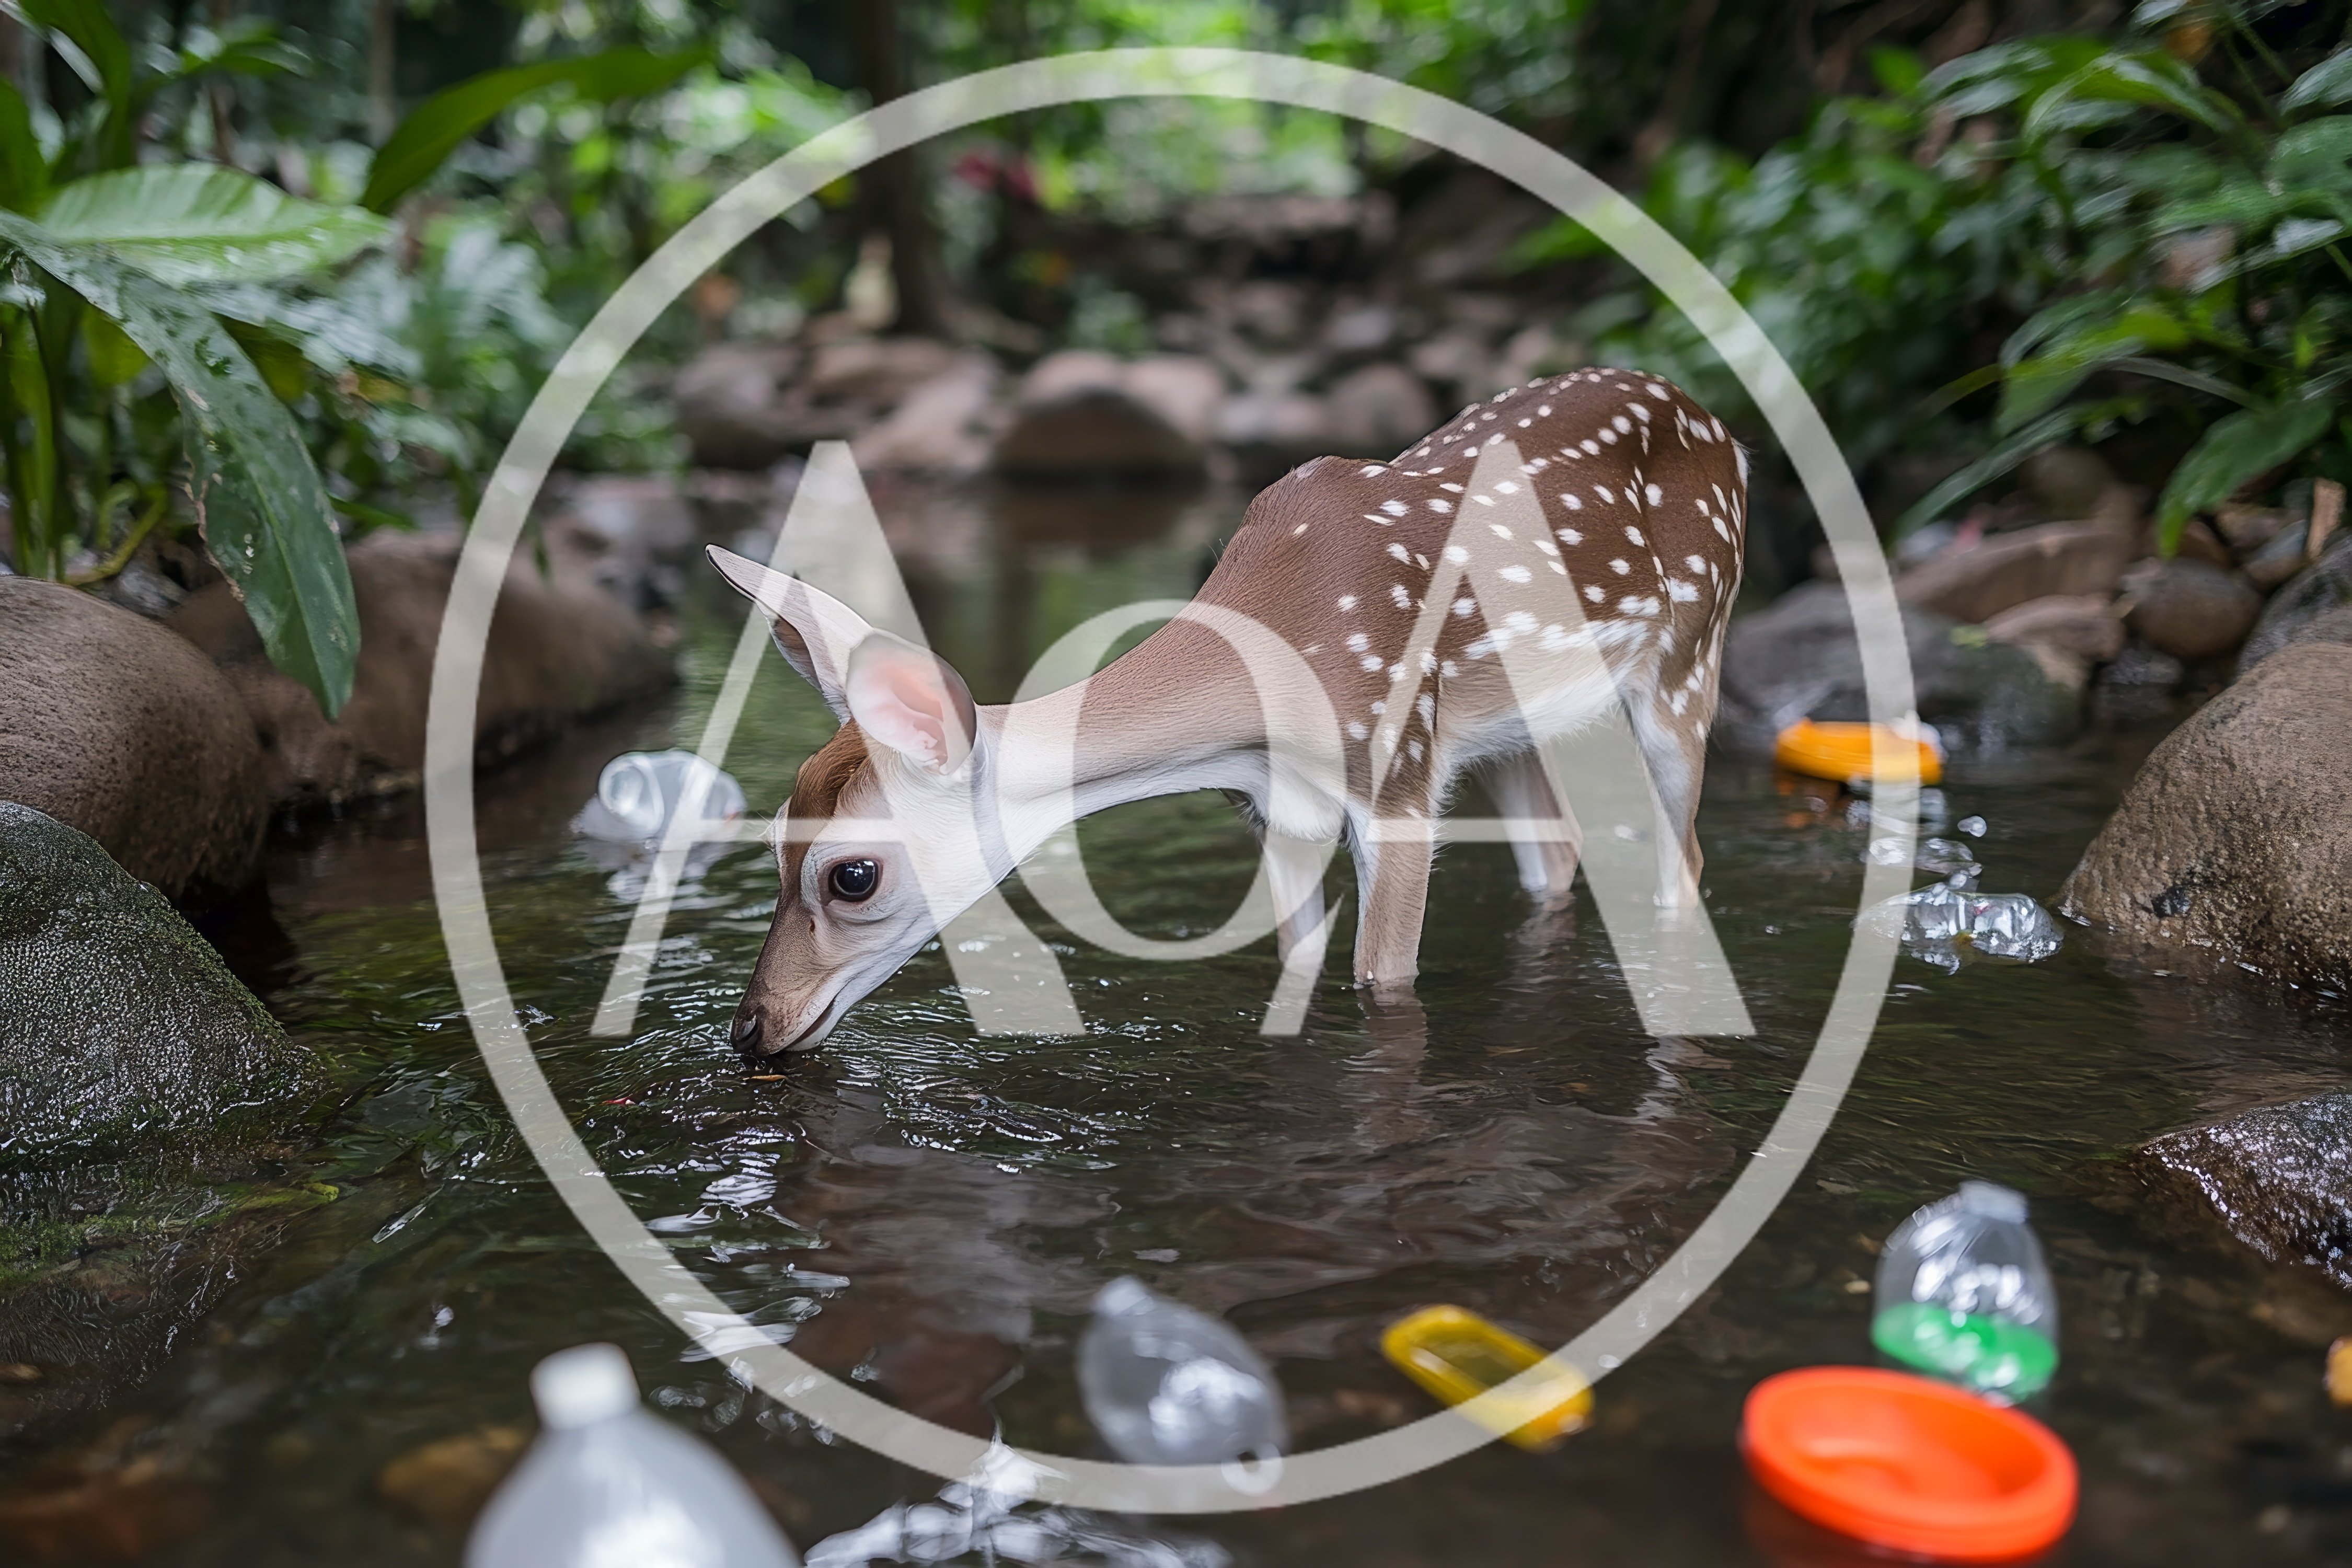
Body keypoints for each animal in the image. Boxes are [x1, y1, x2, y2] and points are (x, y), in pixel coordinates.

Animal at [710, 369, 1747, 1057]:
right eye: (773, 834)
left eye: (853, 877)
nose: (751, 1028)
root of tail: (1721, 427)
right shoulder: (1271, 811)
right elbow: (1299, 963)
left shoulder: (1400, 779)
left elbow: (1383, 980)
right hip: (1511, 728)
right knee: (1559, 848)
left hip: (1688, 658)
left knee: (1685, 862)